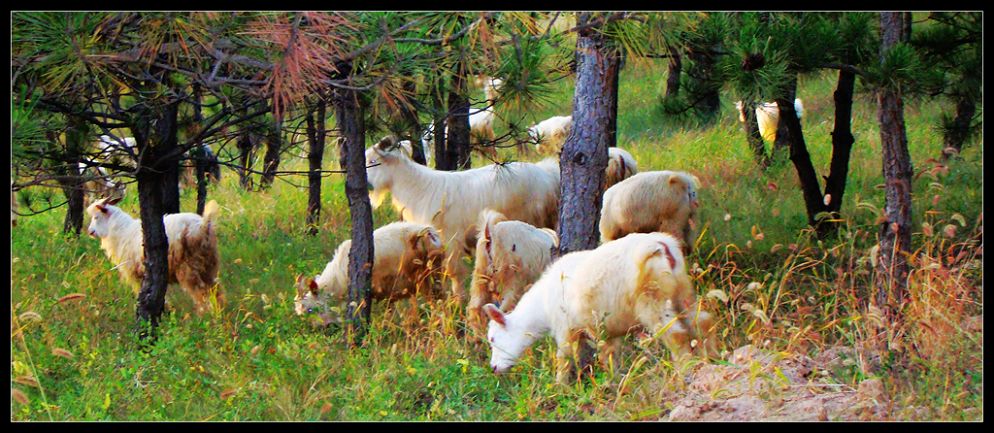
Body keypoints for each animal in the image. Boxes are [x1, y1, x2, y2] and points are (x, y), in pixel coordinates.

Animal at [85, 197, 223, 314]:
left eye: (96, 217)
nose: (90, 231)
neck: (120, 231)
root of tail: (203, 225)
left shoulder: (135, 274)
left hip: (188, 266)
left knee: (200, 292)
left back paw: (204, 315)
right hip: (209, 263)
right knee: (216, 288)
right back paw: (219, 311)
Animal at [366, 137, 564, 298]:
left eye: (373, 161)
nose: (367, 186)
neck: (419, 188)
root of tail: (547, 172)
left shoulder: (451, 239)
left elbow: (453, 271)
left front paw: (458, 299)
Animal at [482, 233, 708, 382]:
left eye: (493, 339)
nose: (493, 368)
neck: (541, 308)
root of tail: (661, 245)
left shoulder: (566, 329)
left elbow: (563, 358)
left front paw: (560, 386)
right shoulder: (607, 331)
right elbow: (609, 355)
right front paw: (614, 380)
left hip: (653, 301)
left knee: (676, 335)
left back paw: (684, 371)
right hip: (682, 292)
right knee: (702, 321)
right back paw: (709, 357)